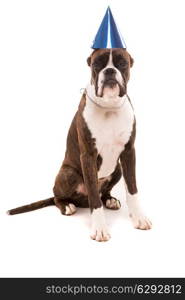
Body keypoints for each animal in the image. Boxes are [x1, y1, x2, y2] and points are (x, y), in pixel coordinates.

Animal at [7, 48, 152, 241]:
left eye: (122, 63)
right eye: (97, 64)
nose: (109, 71)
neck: (109, 106)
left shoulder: (129, 152)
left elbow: (132, 189)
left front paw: (139, 217)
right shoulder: (88, 157)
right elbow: (94, 197)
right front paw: (99, 228)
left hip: (118, 169)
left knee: (102, 192)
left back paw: (109, 199)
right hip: (68, 174)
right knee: (58, 197)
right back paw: (67, 205)